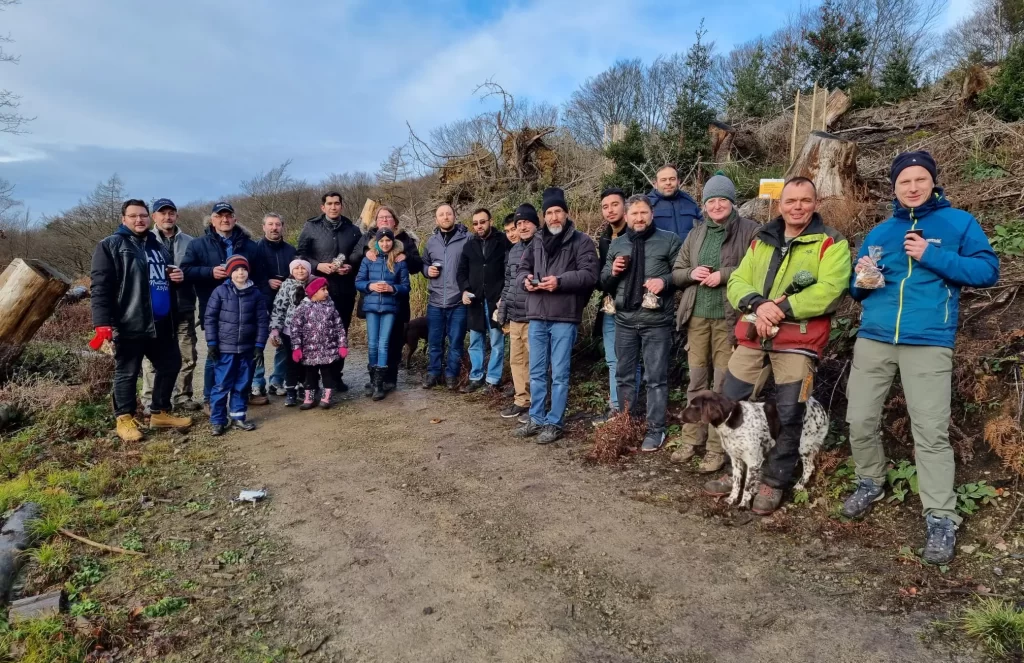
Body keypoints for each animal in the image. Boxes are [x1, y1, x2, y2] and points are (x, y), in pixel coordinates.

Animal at [679, 393, 831, 508]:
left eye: (694, 406)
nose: (678, 416)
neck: (731, 421)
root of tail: (818, 405)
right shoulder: (736, 459)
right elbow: (737, 482)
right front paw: (732, 499)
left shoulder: (754, 461)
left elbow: (747, 485)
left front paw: (743, 504)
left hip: (804, 444)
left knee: (809, 467)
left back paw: (799, 486)